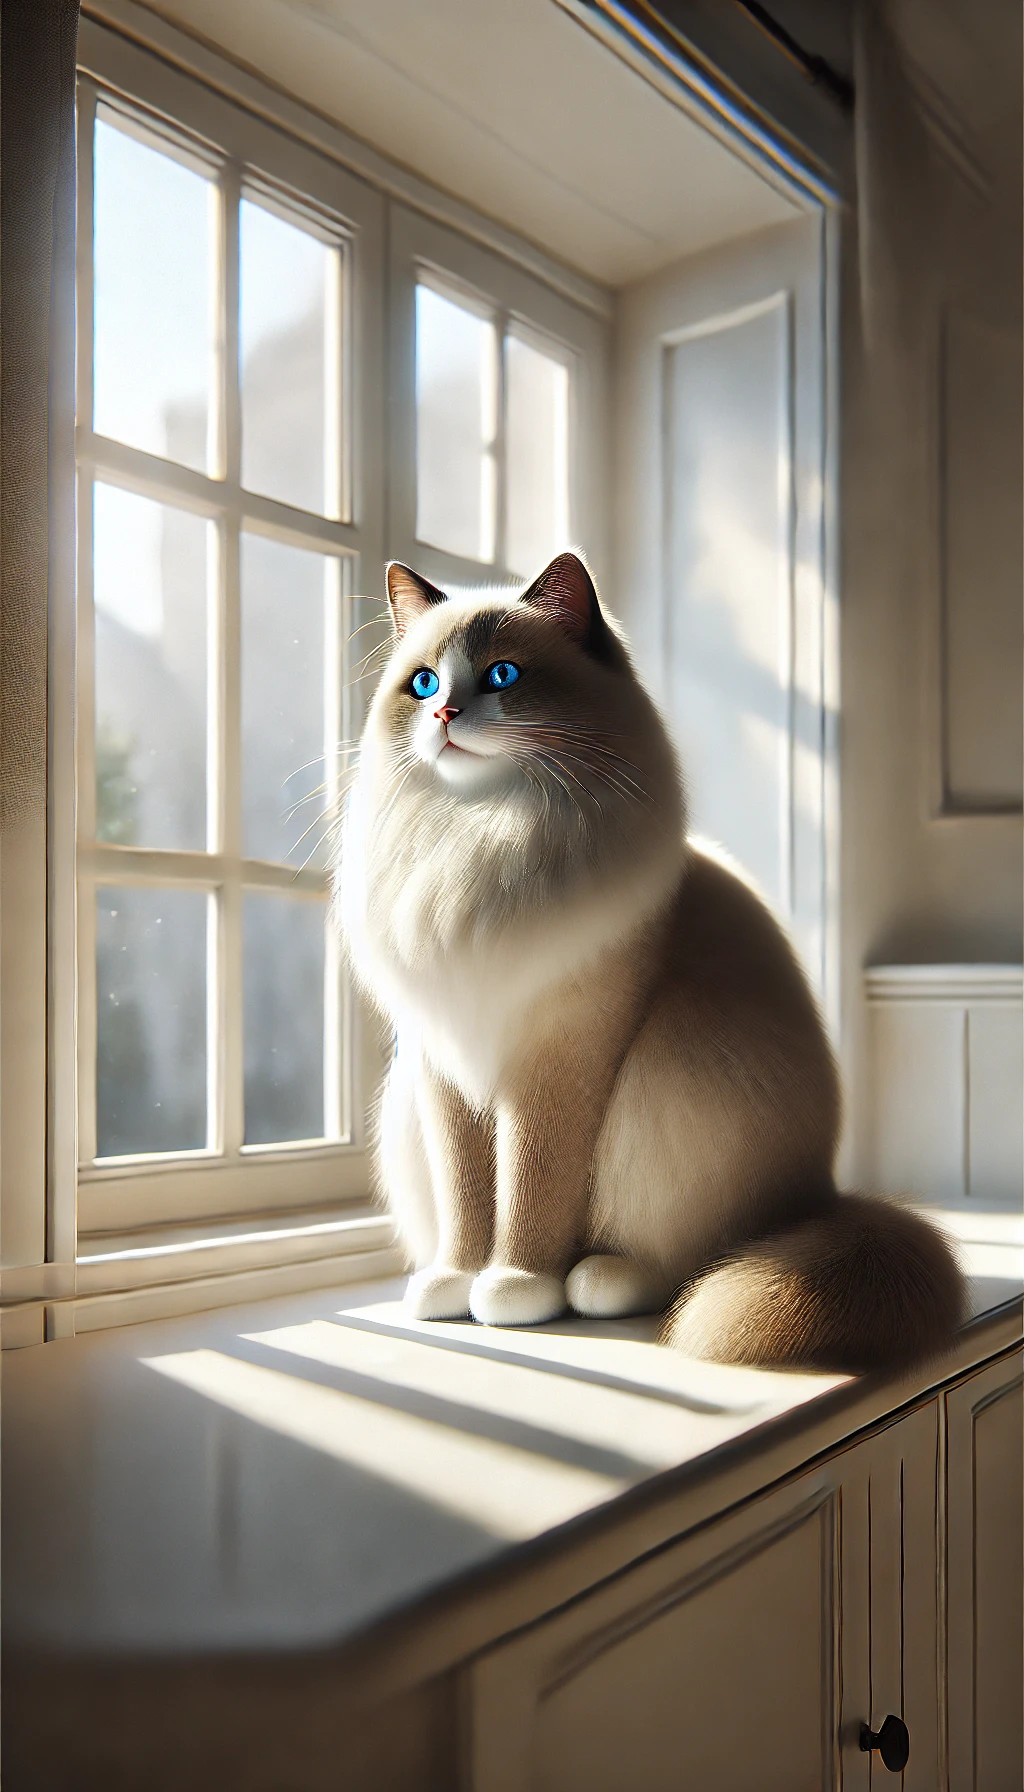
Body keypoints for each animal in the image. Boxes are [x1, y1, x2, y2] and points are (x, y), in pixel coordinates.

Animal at [337, 544, 968, 1369]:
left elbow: (532, 1193)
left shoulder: (556, 1060)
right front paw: (457, 1282)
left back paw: (596, 1280)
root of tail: (824, 1198)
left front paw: (515, 1289)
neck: (482, 838)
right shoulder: (445, 1061)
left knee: (682, 1263)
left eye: (502, 675)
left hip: (666, 1079)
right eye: (424, 684)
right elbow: (468, 1198)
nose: (443, 715)